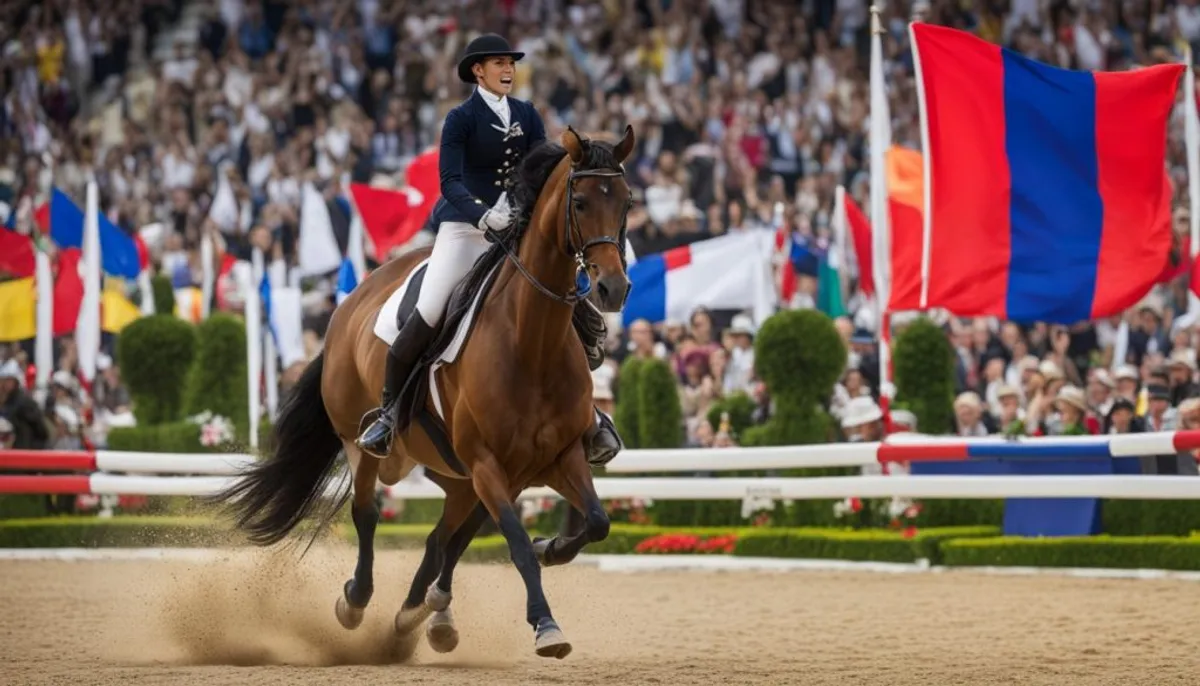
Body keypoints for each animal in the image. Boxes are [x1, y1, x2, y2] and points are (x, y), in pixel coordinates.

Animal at [213, 125, 638, 662]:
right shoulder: (486, 464)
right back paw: (359, 602)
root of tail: (350, 300)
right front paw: (545, 624)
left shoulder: (554, 459)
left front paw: (550, 548)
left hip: (458, 474)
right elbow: (518, 547)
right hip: (363, 443)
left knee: (442, 538)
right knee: (368, 513)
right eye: (580, 202)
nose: (613, 290)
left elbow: (596, 522)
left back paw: (423, 613)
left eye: (626, 201)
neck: (531, 340)